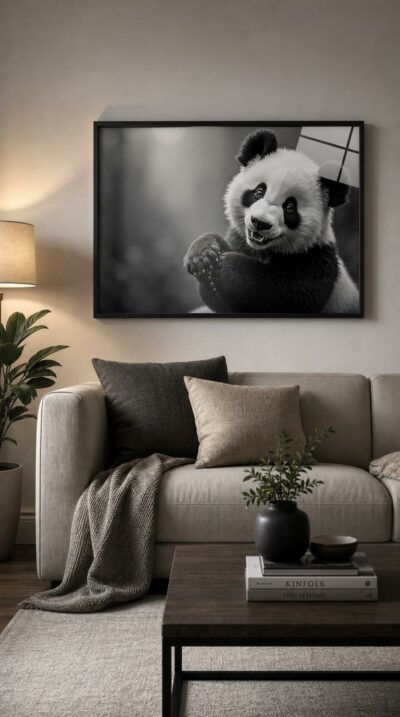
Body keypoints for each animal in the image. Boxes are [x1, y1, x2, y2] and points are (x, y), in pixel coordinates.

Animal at [183, 129, 359, 314]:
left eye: (290, 208)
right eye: (259, 192)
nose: (260, 223)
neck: (264, 250)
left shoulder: (316, 258)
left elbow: (286, 292)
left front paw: (226, 267)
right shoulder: (242, 241)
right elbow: (218, 302)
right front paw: (203, 256)